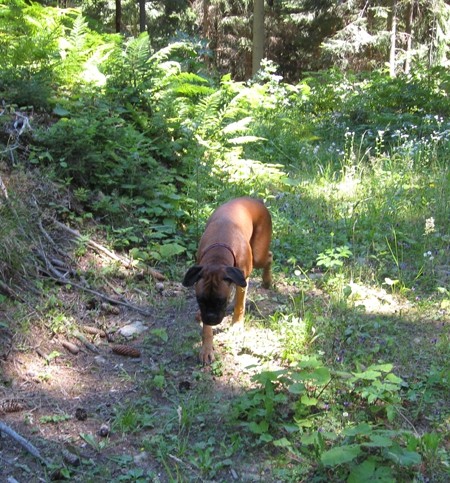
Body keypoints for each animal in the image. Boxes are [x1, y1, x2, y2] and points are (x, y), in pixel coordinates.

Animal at [181, 197, 272, 364]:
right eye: (200, 300)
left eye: (221, 301)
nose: (210, 318)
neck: (218, 255)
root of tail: (256, 200)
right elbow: (206, 330)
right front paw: (207, 348)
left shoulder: (243, 279)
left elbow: (239, 305)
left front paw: (236, 325)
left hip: (258, 255)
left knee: (269, 256)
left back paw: (267, 280)